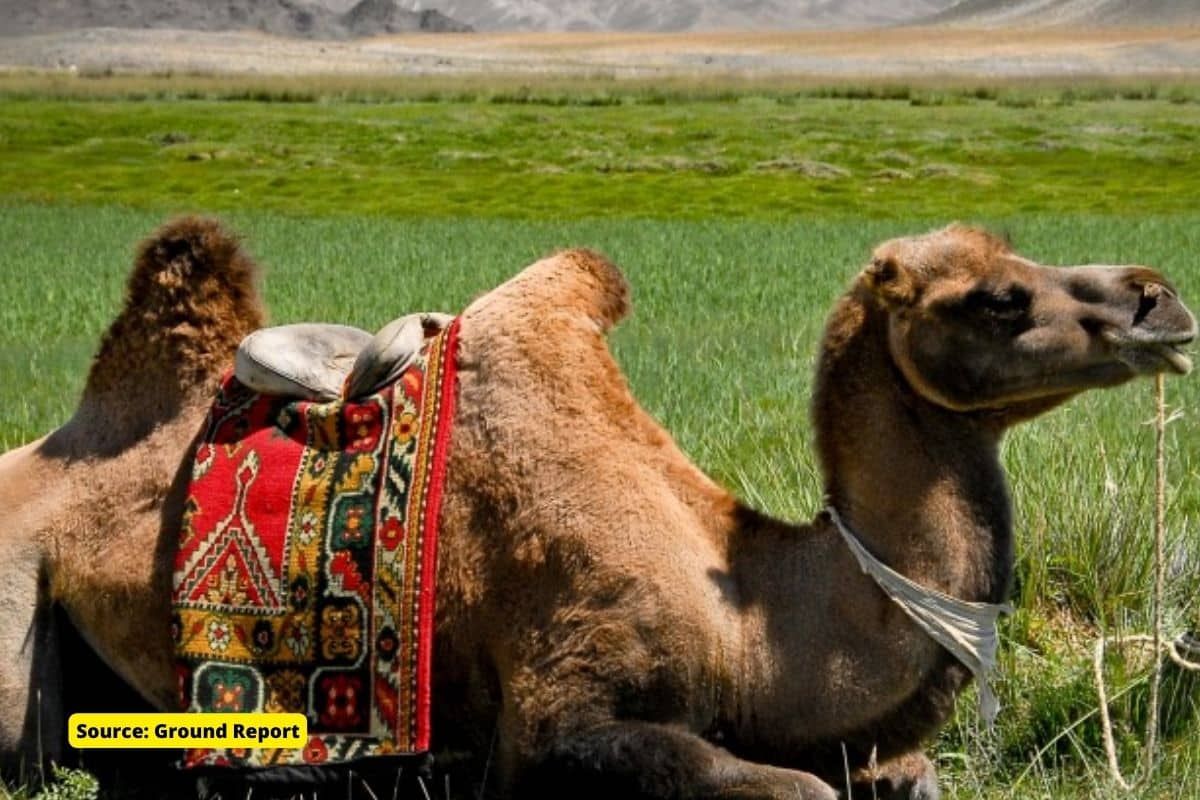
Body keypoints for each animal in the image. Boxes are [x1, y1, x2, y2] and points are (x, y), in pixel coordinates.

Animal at [0, 217, 1195, 799]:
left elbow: (913, 776)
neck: (753, 622)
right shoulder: (559, 714)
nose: (1159, 297)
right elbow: (791, 790)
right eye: (999, 297)